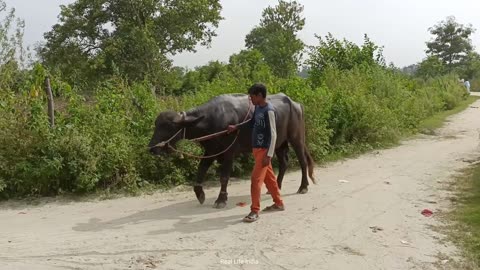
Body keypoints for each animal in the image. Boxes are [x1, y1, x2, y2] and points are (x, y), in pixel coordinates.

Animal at [148, 93, 316, 209]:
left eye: (169, 126)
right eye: (156, 124)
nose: (152, 148)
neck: (212, 120)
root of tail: (296, 104)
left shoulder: (229, 153)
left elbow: (224, 177)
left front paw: (221, 200)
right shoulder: (211, 151)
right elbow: (200, 172)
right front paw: (200, 194)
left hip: (296, 139)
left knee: (302, 161)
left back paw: (303, 187)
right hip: (279, 142)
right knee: (283, 163)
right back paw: (276, 188)